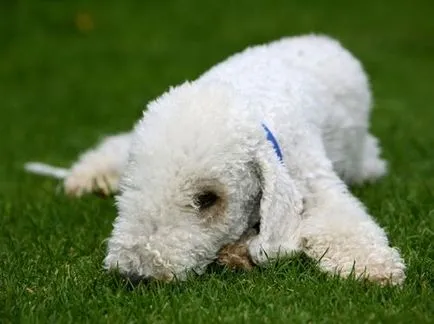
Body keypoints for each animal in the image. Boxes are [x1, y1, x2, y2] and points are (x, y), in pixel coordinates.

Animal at [25, 34, 406, 284]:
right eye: (132, 188)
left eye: (207, 199)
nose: (135, 275)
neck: (251, 107)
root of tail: (322, 39)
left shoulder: (313, 178)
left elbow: (343, 222)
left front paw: (372, 267)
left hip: (363, 159)